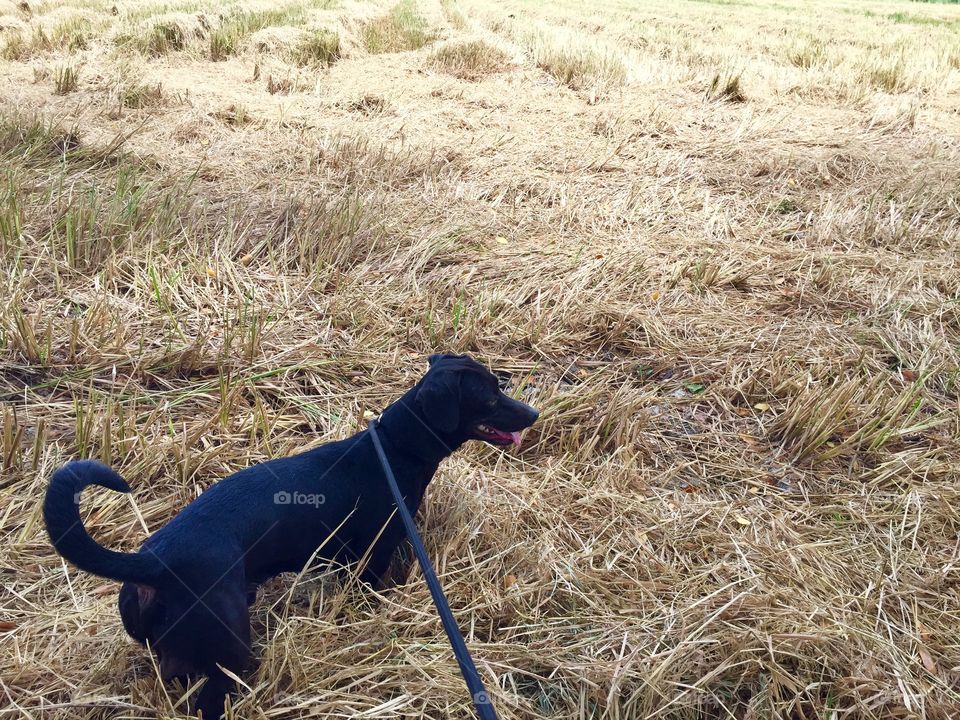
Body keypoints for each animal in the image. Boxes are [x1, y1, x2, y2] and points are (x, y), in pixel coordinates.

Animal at [43, 352, 540, 716]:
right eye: (490, 398)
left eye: (498, 385)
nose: (533, 414)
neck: (395, 447)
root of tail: (154, 561)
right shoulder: (372, 557)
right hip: (229, 653)